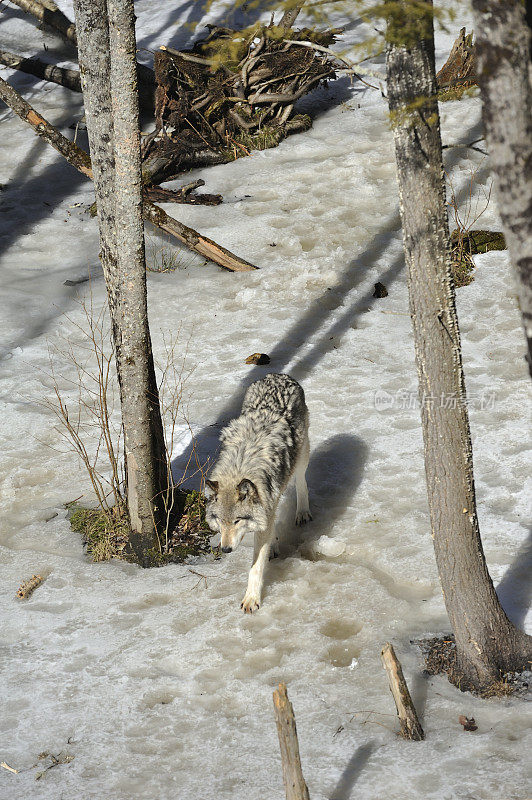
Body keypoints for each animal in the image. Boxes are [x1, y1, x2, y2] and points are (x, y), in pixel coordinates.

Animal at [205, 374, 312, 612]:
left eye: (237, 521)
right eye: (221, 522)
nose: (225, 550)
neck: (240, 467)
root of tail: (279, 376)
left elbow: (255, 567)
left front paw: (251, 599)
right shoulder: (266, 507)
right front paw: (272, 545)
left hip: (301, 458)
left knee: (302, 481)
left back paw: (302, 512)